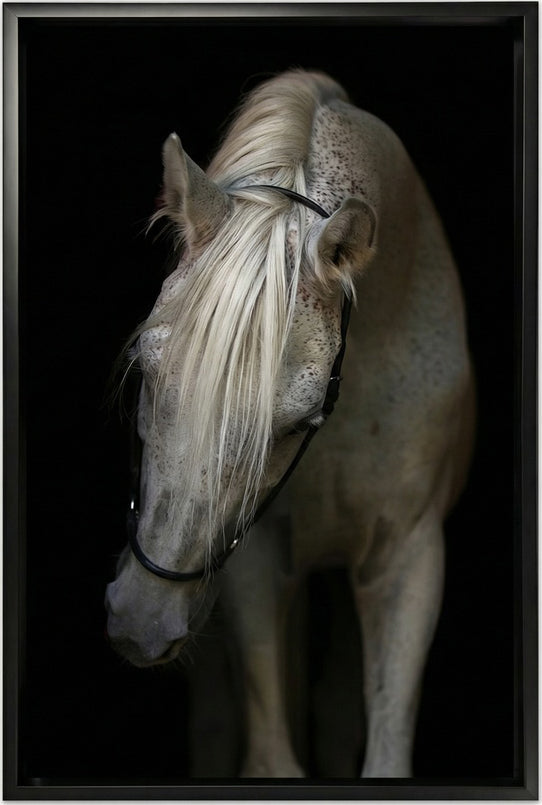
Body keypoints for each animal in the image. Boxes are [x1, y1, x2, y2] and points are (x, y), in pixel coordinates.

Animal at [105, 69, 474, 778]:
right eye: (145, 369)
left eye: (301, 419)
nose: (141, 620)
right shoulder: (255, 560)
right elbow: (272, 754)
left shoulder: (409, 558)